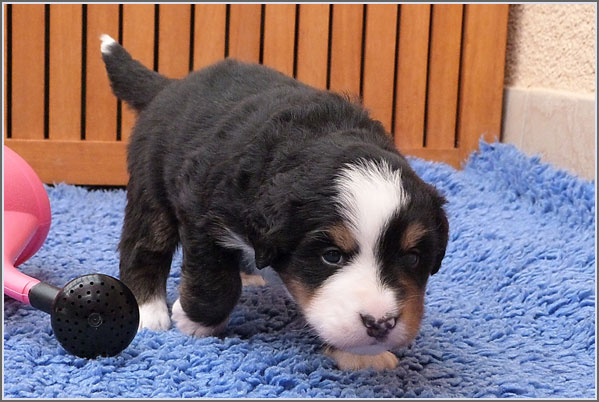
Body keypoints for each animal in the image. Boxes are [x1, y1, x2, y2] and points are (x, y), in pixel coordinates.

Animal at [100, 34, 449, 371]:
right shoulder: (202, 211)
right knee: (145, 247)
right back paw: (148, 311)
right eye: (331, 256)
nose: (380, 323)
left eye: (413, 258)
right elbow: (214, 279)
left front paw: (361, 355)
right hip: (151, 186)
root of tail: (171, 86)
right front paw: (195, 322)